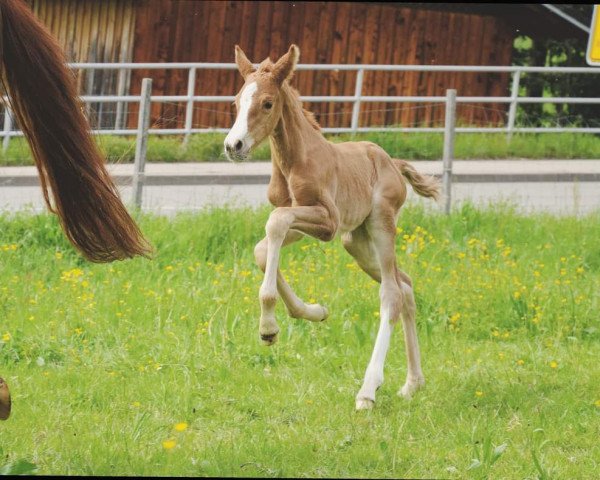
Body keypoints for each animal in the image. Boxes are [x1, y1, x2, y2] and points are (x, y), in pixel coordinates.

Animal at [225, 44, 440, 408]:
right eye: (237, 102)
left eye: (267, 103)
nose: (233, 146)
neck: (296, 161)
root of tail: (392, 163)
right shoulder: (303, 219)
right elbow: (263, 247)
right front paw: (313, 312)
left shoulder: (327, 222)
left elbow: (274, 225)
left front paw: (267, 327)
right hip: (356, 241)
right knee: (406, 285)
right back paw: (413, 383)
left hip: (381, 224)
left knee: (392, 294)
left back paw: (368, 391)